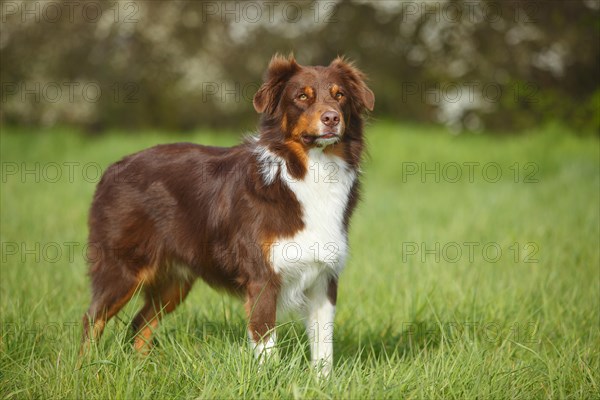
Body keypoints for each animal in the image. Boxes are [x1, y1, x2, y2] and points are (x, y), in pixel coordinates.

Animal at [83, 54, 376, 376]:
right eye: (302, 97)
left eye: (340, 95)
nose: (332, 118)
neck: (306, 172)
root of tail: (113, 168)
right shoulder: (262, 278)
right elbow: (266, 346)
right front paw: (269, 380)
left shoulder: (324, 277)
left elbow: (324, 348)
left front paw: (322, 382)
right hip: (123, 269)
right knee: (92, 320)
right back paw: (85, 369)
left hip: (175, 283)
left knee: (140, 324)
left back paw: (140, 370)